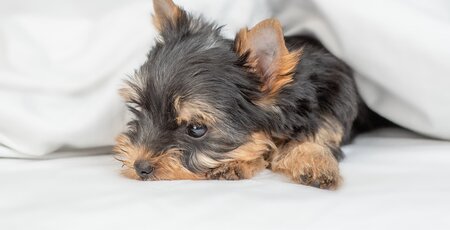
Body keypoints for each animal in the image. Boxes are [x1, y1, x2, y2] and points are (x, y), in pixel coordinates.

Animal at [113, 0, 384, 189]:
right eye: (141, 109)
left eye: (196, 129)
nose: (140, 166)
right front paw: (237, 163)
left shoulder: (332, 108)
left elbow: (315, 138)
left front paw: (315, 162)